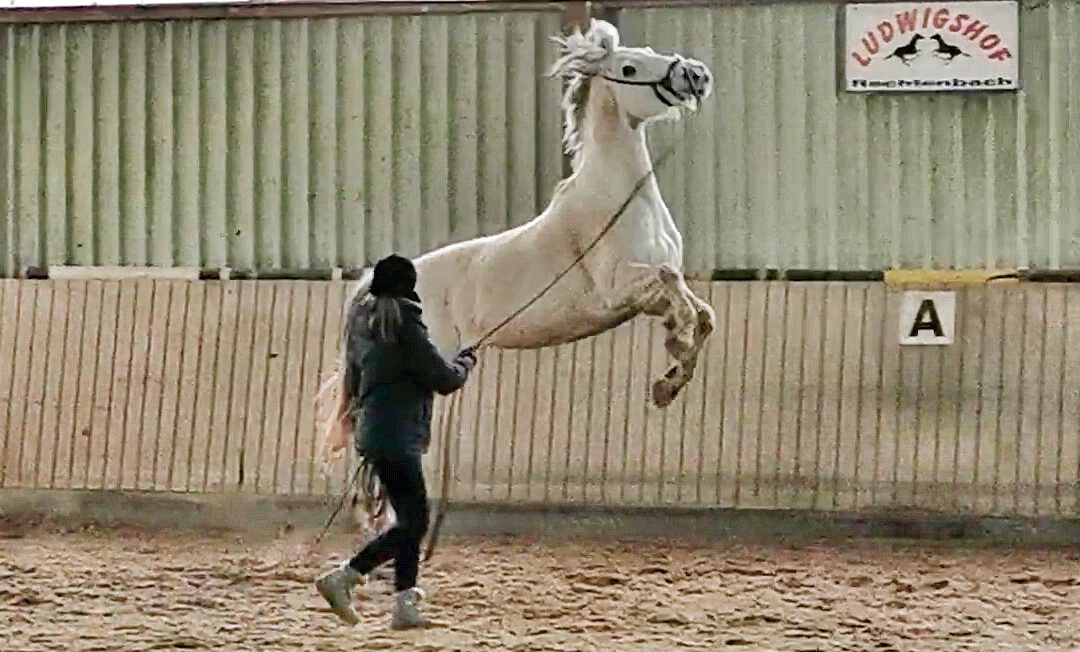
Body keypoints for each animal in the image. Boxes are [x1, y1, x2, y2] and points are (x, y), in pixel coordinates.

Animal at [315, 18, 716, 532]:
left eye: (649, 51)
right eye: (628, 67)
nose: (696, 75)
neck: (621, 199)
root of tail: (373, 283)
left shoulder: (650, 291)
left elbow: (701, 314)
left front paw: (668, 380)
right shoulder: (620, 291)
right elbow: (671, 286)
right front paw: (670, 360)